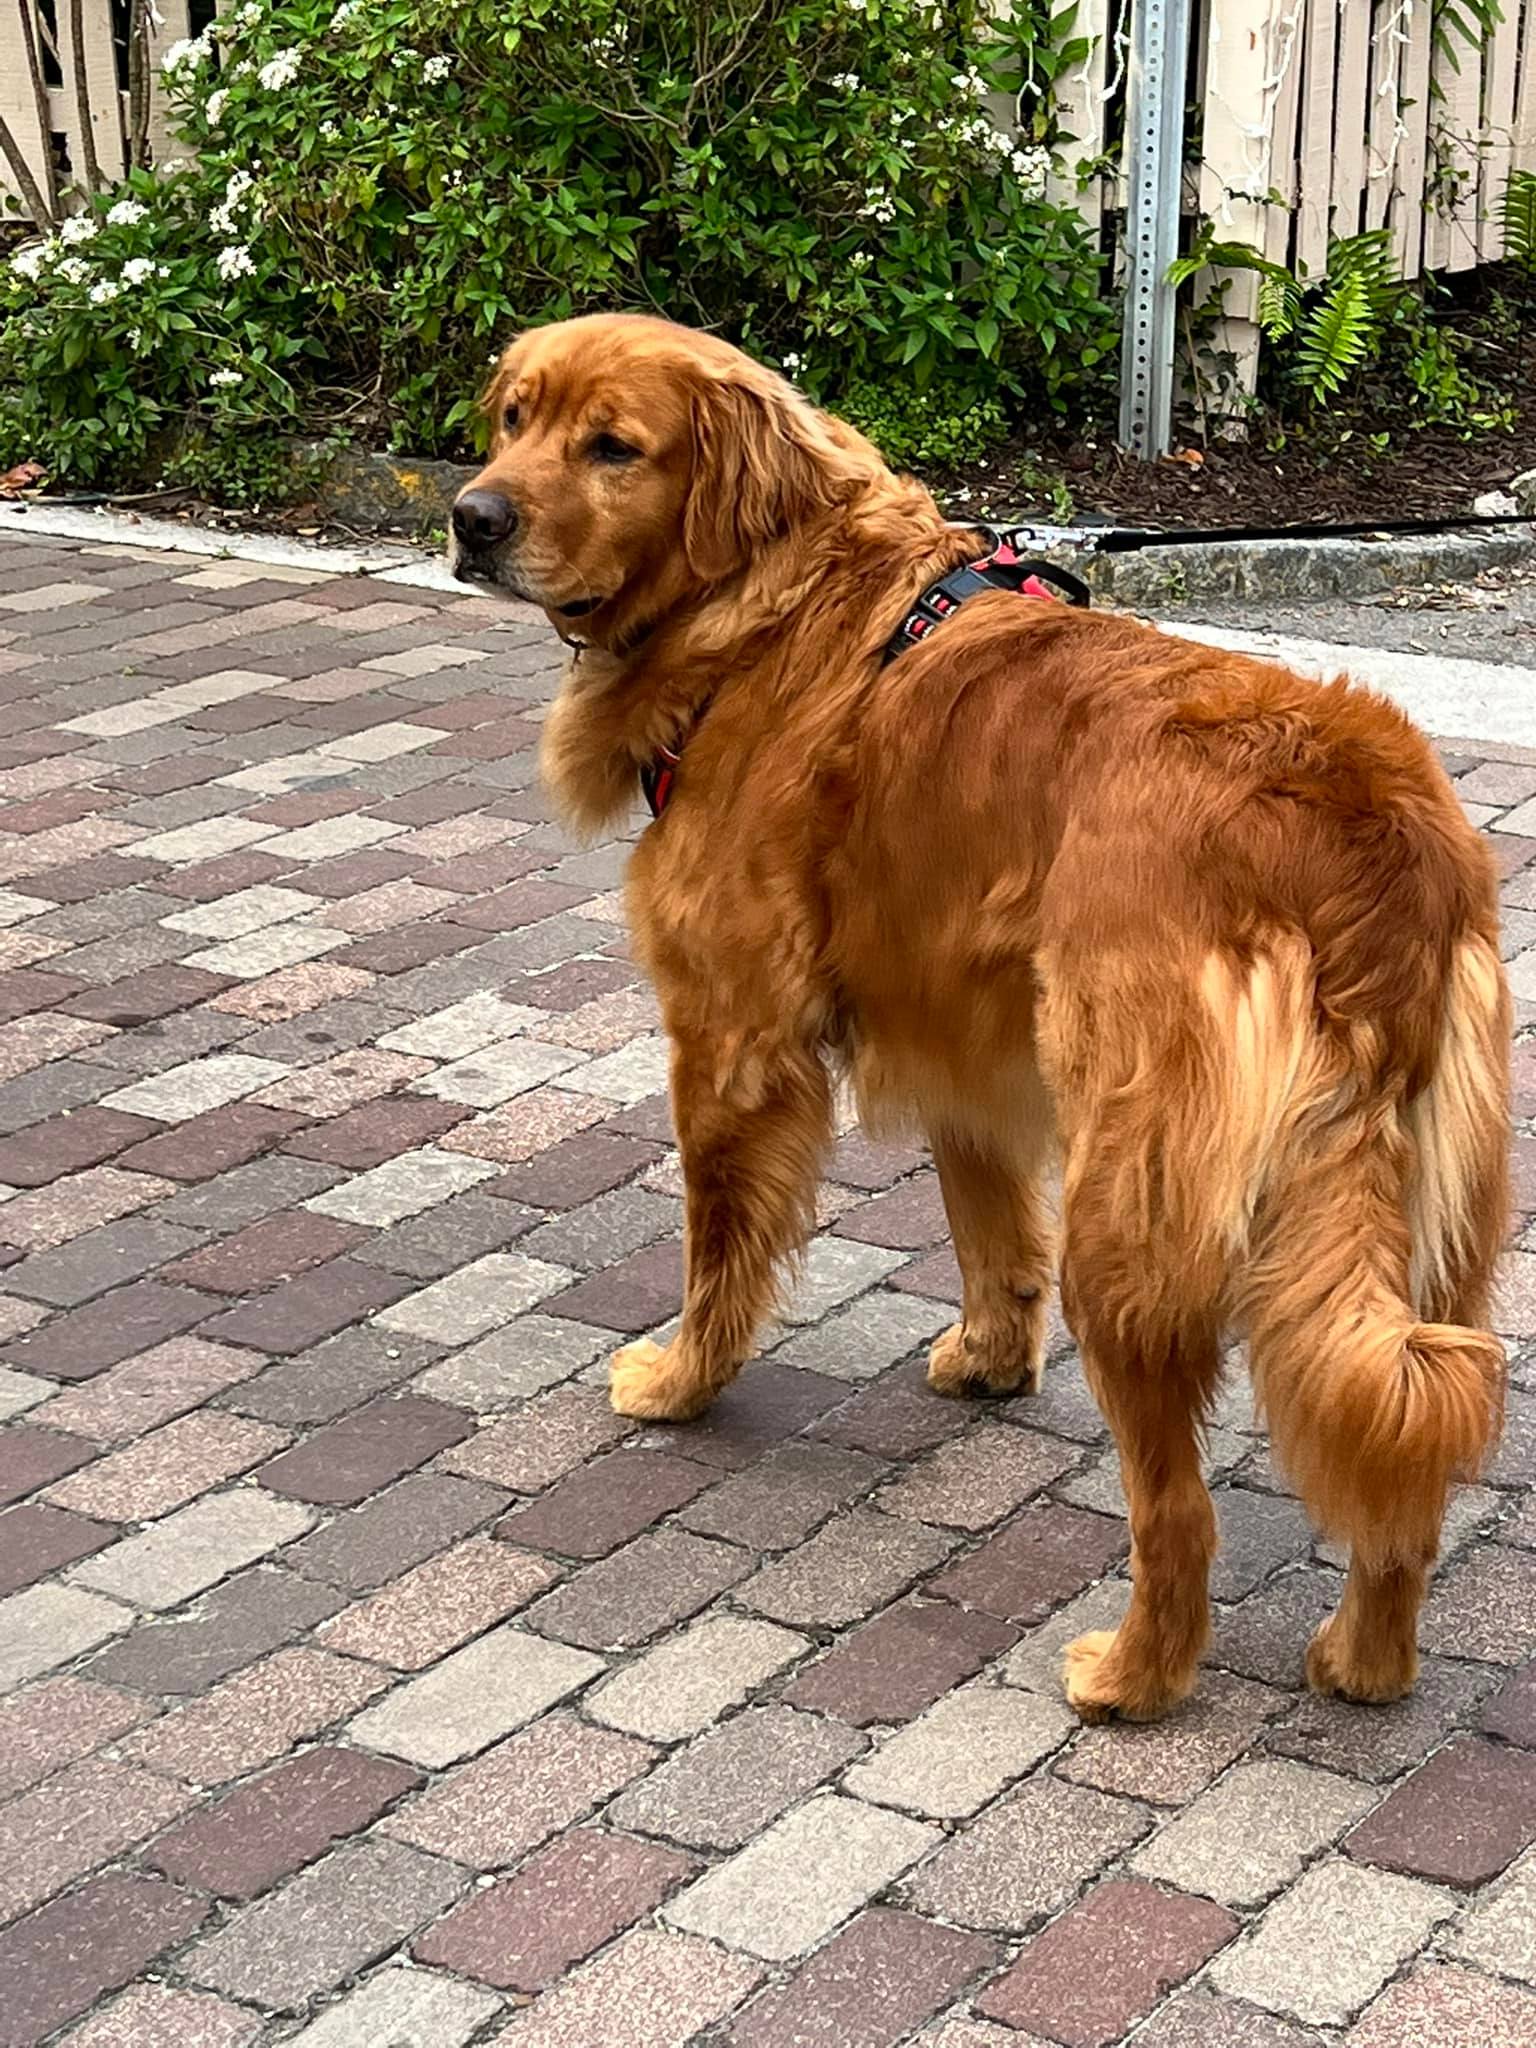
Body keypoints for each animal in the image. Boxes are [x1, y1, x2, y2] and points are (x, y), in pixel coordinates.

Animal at [450, 312, 1509, 1722]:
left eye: (612, 446)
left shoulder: (732, 1039)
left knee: (1179, 1513)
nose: (469, 517)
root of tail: (1363, 816)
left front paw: (681, 1380)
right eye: (514, 418)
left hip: (1135, 1211)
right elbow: (989, 1224)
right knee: (1407, 1461)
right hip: (1431, 1221)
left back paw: (1133, 1675)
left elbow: (717, 1247)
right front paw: (993, 1356)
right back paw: (1365, 1662)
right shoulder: (962, 1026)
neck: (775, 608)